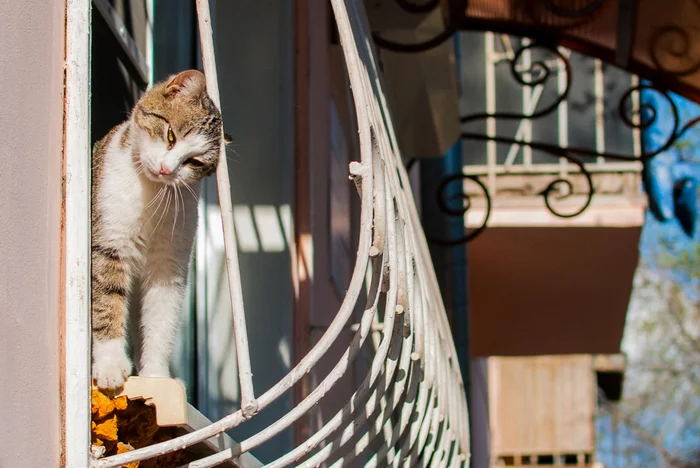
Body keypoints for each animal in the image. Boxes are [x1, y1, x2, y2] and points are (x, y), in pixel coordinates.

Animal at [91, 69, 224, 390]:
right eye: (171, 135)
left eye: (194, 161)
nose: (166, 169)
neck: (152, 193)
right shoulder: (109, 243)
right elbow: (107, 300)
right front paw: (110, 364)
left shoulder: (169, 264)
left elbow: (162, 318)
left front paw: (155, 377)